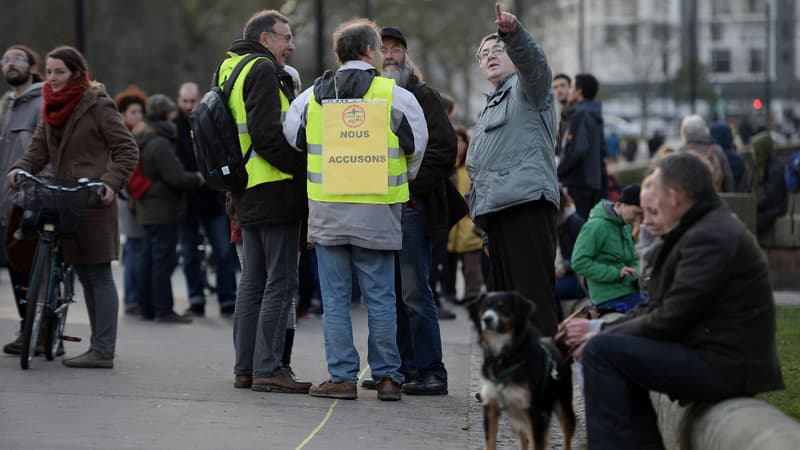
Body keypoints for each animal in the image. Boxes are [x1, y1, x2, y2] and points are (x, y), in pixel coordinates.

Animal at [468, 292, 576, 450]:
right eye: (483, 308)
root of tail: (555, 342)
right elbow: (490, 443)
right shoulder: (491, 407)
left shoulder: (535, 412)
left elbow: (536, 443)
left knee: (566, 436)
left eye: (504, 308)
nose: (487, 319)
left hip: (563, 405)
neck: (505, 357)